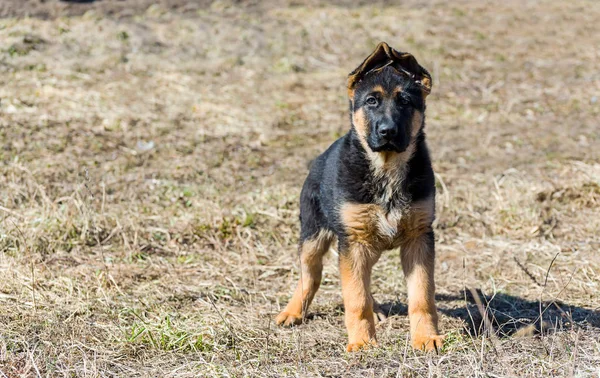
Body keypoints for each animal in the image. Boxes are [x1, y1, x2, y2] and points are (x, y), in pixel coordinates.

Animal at [278, 41, 442, 352]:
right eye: (371, 101)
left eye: (405, 102)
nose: (387, 131)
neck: (386, 168)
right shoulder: (353, 242)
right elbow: (356, 297)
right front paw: (363, 342)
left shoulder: (419, 238)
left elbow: (422, 296)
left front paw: (426, 338)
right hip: (314, 233)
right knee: (311, 273)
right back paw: (292, 312)